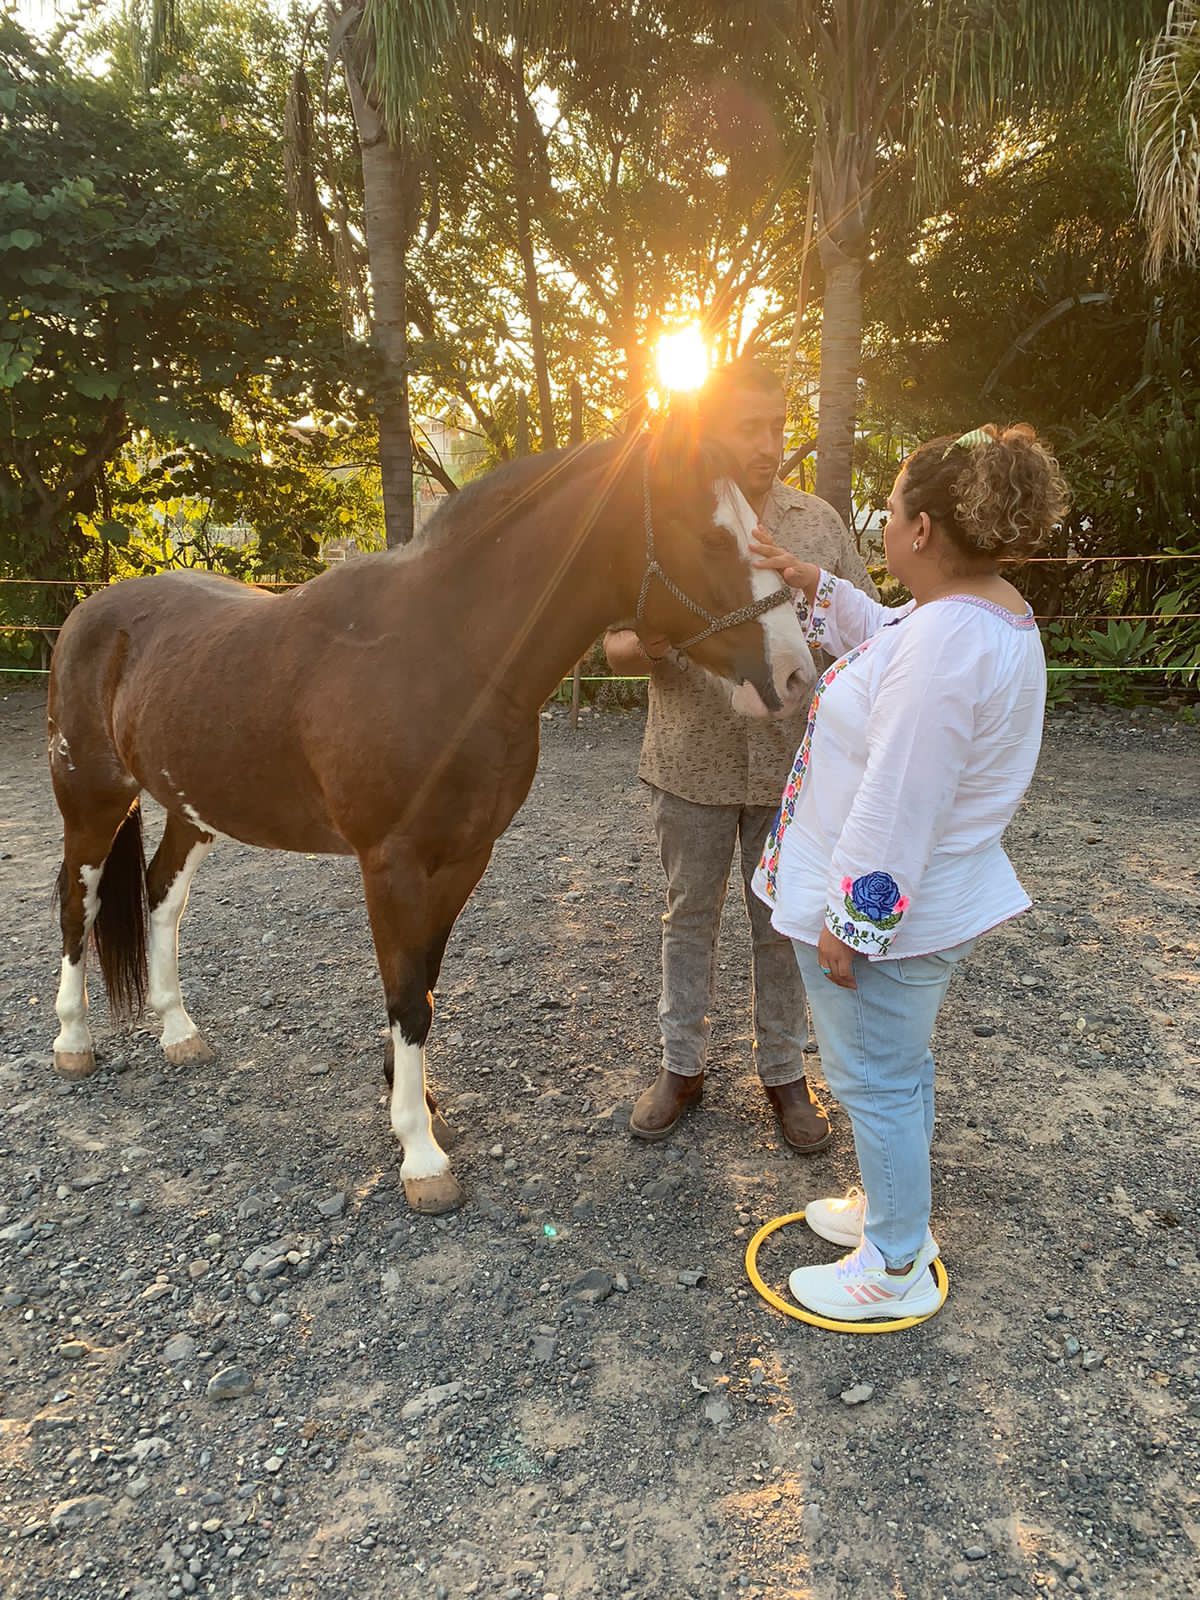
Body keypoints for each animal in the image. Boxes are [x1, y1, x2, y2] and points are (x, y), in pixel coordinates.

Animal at [45, 422, 815, 1213]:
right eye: (712, 537)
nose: (796, 674)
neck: (453, 654)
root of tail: (87, 614)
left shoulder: (463, 856)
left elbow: (425, 984)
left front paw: (416, 1102)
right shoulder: (390, 863)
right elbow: (406, 995)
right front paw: (420, 1153)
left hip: (191, 807)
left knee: (161, 897)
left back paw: (177, 1030)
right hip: (89, 795)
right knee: (78, 902)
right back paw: (73, 1041)